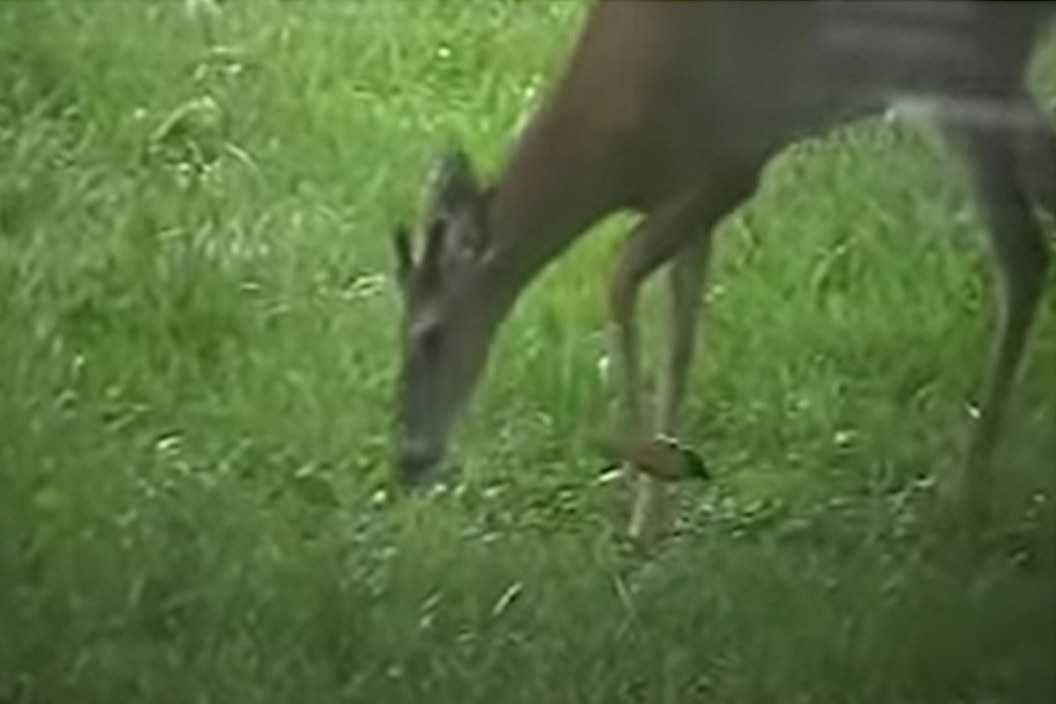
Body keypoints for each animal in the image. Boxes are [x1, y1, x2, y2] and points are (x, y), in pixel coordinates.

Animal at [391, 0, 1055, 544]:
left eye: (429, 336)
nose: (407, 462)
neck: (616, 141)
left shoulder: (733, 165)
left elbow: (620, 277)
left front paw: (657, 466)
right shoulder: (693, 194)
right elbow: (681, 338)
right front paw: (650, 517)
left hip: (967, 72)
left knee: (1023, 252)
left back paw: (963, 502)